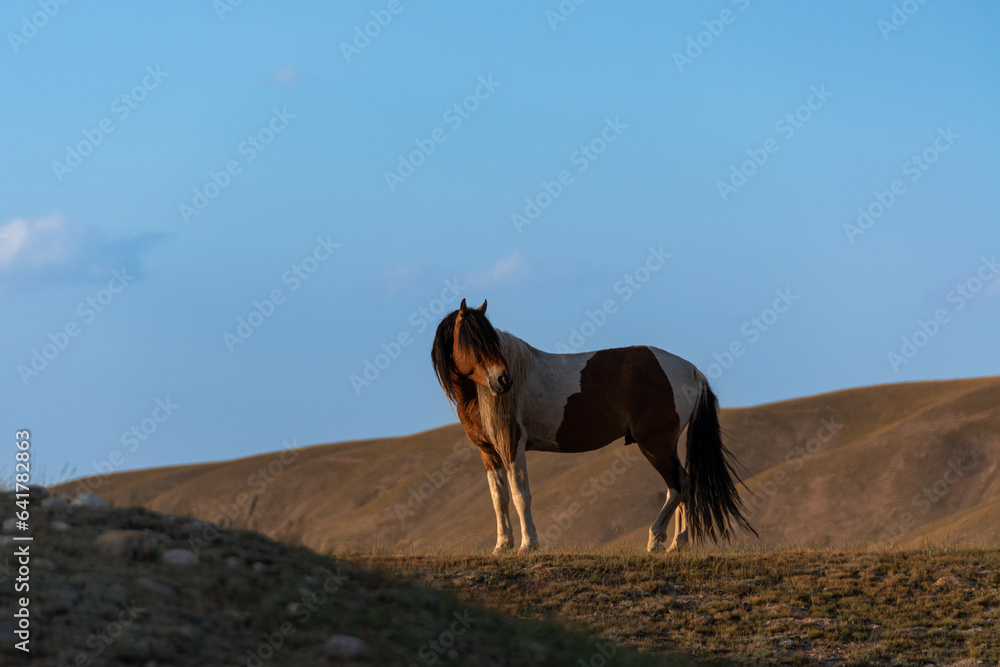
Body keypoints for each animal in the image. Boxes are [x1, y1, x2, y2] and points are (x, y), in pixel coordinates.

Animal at [431, 299, 757, 553]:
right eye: (472, 340)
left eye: (492, 340)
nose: (503, 380)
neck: (481, 393)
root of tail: (692, 371)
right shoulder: (489, 452)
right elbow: (499, 498)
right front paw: (502, 546)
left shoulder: (512, 445)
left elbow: (521, 495)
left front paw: (528, 545)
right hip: (665, 445)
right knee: (683, 484)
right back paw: (678, 543)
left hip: (655, 445)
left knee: (678, 485)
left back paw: (656, 540)